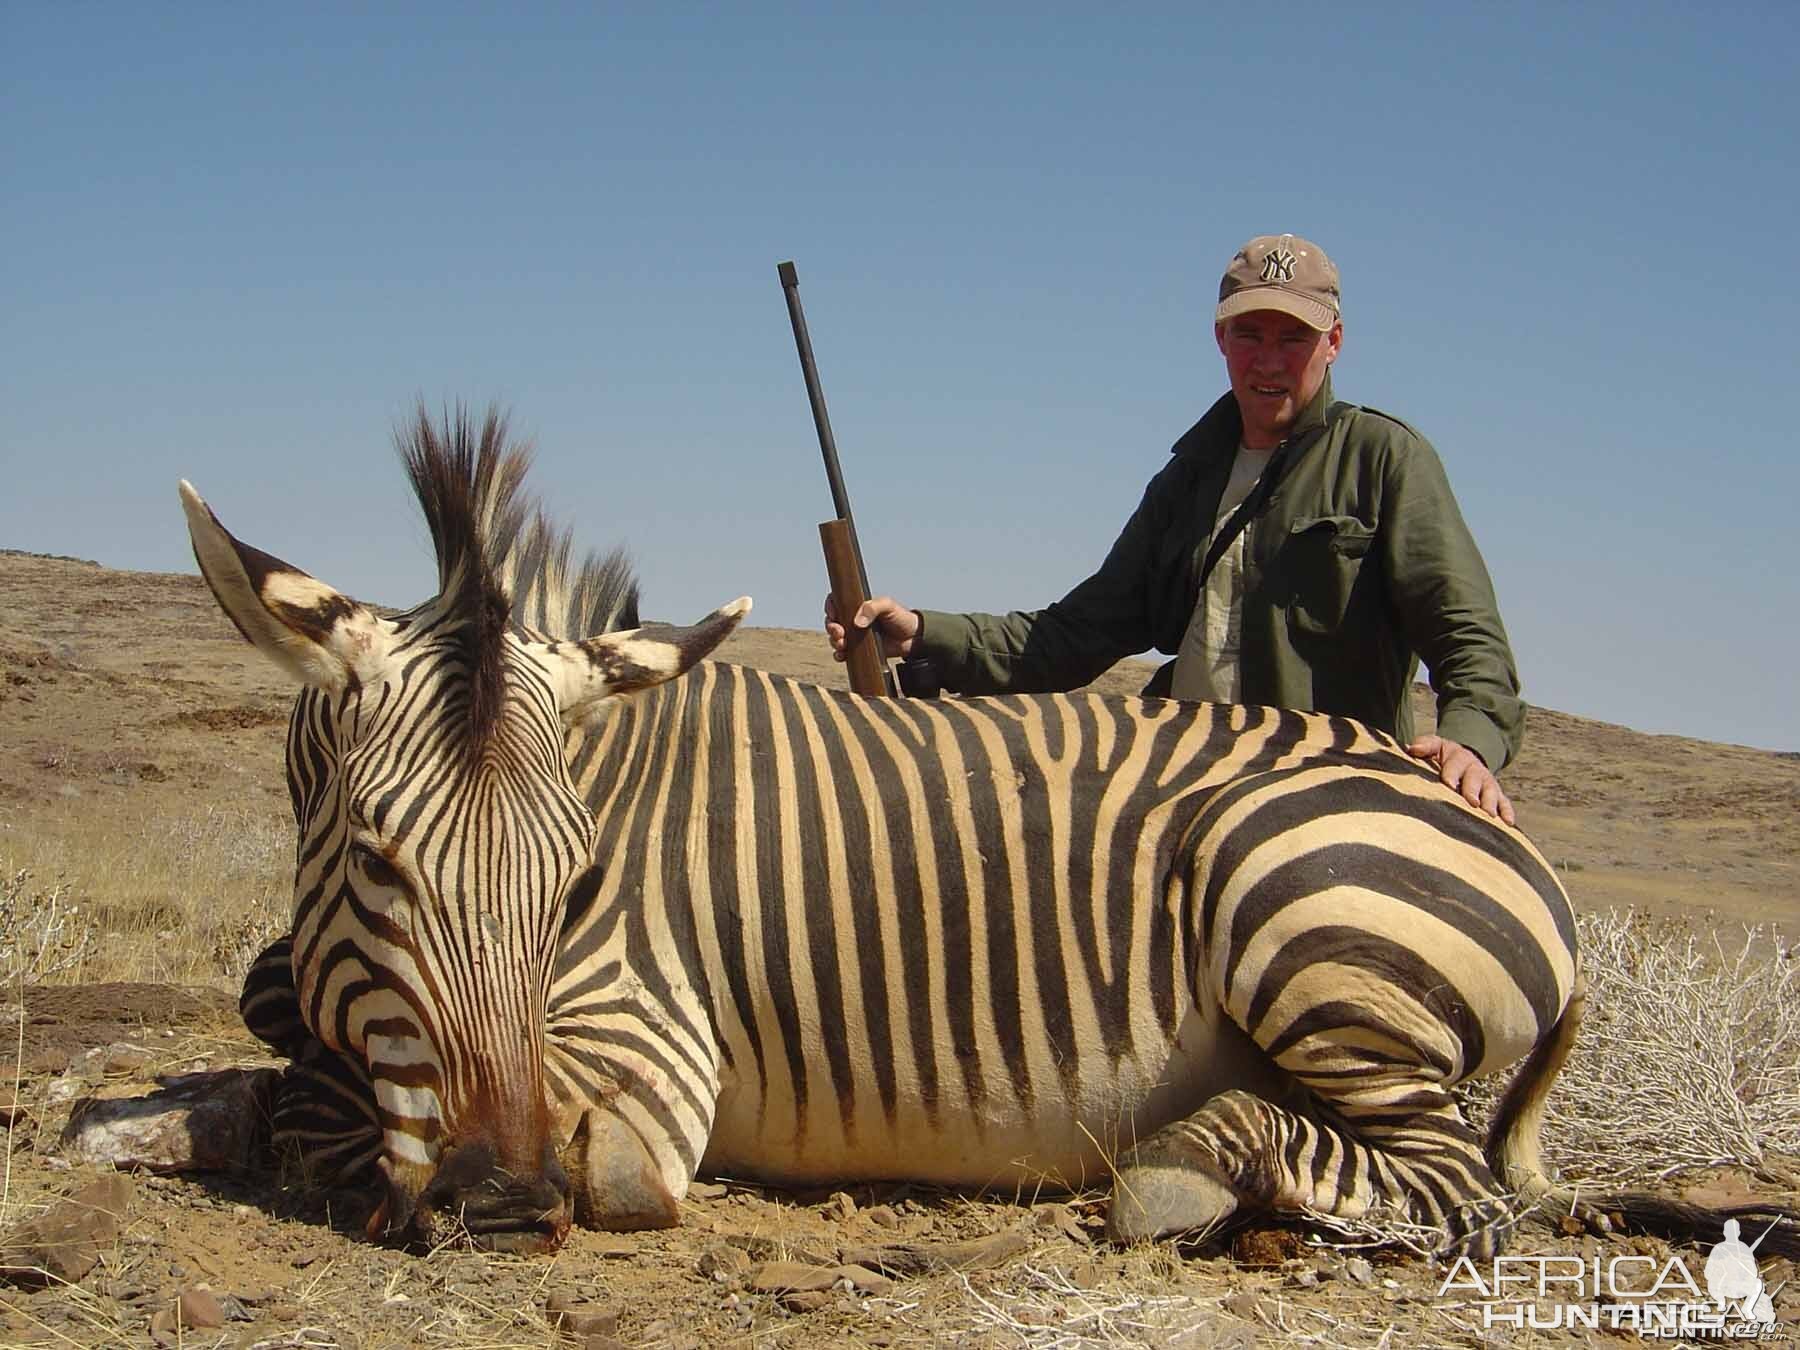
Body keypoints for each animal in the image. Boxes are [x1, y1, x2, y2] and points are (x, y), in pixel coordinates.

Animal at [189, 415, 1792, 1267]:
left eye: (578, 876)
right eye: (374, 857)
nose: (501, 1197)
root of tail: (1503, 837)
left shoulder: (641, 1069)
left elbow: (328, 1097)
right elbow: (276, 1006)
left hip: (1294, 908)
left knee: (1455, 1188)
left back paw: (1182, 1167)